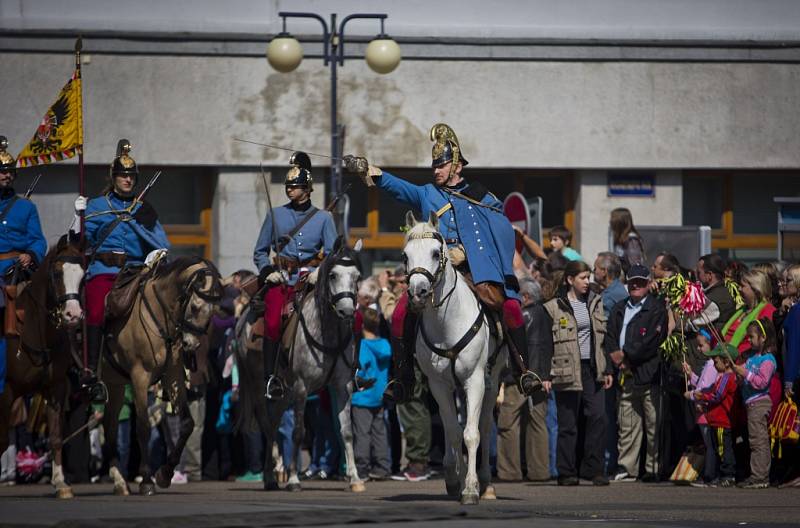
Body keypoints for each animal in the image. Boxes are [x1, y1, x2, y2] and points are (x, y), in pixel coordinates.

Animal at [0, 235, 85, 500]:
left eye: (83, 274)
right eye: (56, 273)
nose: (73, 314)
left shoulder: (55, 388)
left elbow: (56, 435)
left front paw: (61, 483)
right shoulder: (7, 391)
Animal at [99, 256, 222, 496]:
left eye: (213, 311)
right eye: (195, 306)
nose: (190, 345)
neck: (157, 314)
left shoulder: (172, 375)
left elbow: (187, 423)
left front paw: (165, 473)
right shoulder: (140, 377)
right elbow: (144, 427)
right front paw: (147, 480)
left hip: (115, 385)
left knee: (109, 427)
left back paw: (119, 481)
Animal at [234, 237, 366, 492]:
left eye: (357, 276)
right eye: (333, 275)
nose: (346, 311)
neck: (326, 331)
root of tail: (242, 319)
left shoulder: (342, 385)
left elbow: (346, 431)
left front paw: (355, 478)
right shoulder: (302, 387)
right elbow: (298, 432)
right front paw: (294, 478)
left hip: (284, 393)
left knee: (274, 423)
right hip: (260, 387)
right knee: (268, 425)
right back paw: (270, 477)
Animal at [404, 212, 504, 506]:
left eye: (436, 253)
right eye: (405, 256)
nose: (418, 292)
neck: (446, 323)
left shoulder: (475, 381)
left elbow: (472, 434)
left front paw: (470, 488)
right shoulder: (438, 384)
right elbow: (452, 430)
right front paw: (453, 478)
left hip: (492, 381)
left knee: (484, 425)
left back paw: (485, 482)